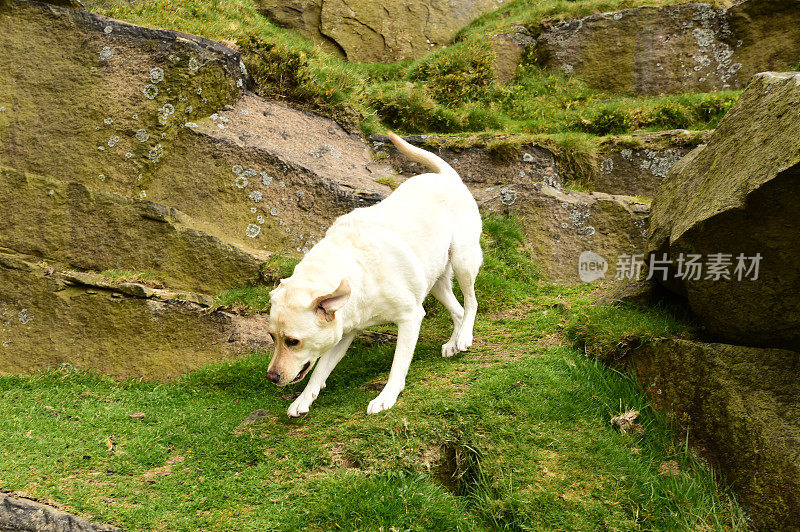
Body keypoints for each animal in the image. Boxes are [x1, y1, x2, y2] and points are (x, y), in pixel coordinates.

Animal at [266, 132, 484, 416]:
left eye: (293, 341)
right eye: (272, 337)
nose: (271, 377)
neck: (355, 273)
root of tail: (447, 176)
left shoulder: (410, 317)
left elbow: (397, 365)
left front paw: (386, 396)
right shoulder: (344, 332)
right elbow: (319, 371)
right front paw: (303, 400)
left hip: (462, 260)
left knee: (471, 302)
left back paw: (465, 336)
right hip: (435, 280)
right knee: (457, 310)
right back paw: (453, 342)